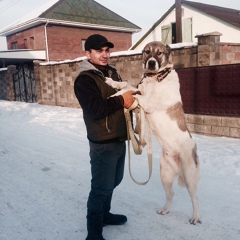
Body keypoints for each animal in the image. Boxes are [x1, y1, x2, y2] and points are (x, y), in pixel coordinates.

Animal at [105, 41, 201, 225]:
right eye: (147, 52)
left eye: (159, 53)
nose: (151, 63)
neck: (156, 77)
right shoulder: (140, 89)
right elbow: (127, 85)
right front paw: (112, 83)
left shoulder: (147, 101)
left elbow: (130, 92)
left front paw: (115, 95)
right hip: (165, 174)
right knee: (171, 194)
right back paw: (165, 210)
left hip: (190, 176)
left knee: (195, 198)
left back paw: (195, 217)